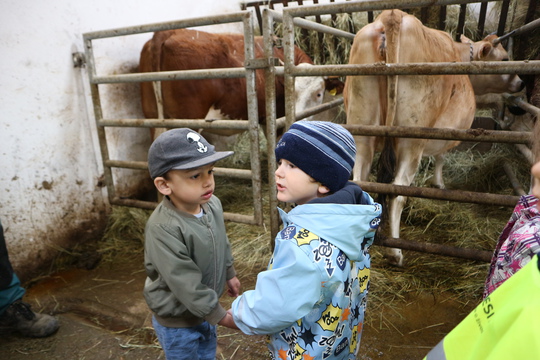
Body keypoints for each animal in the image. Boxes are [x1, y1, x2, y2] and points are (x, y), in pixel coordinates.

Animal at [139, 28, 342, 142]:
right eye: (290, 93)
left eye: (318, 94)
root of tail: (166, 33)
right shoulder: (273, 117)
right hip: (188, 120)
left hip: (153, 119)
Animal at [344, 9, 524, 268]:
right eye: (505, 59)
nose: (522, 82)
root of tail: (393, 15)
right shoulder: (449, 130)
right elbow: (441, 156)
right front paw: (439, 183)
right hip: (411, 140)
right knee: (398, 192)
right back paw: (395, 253)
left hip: (362, 130)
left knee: (361, 182)